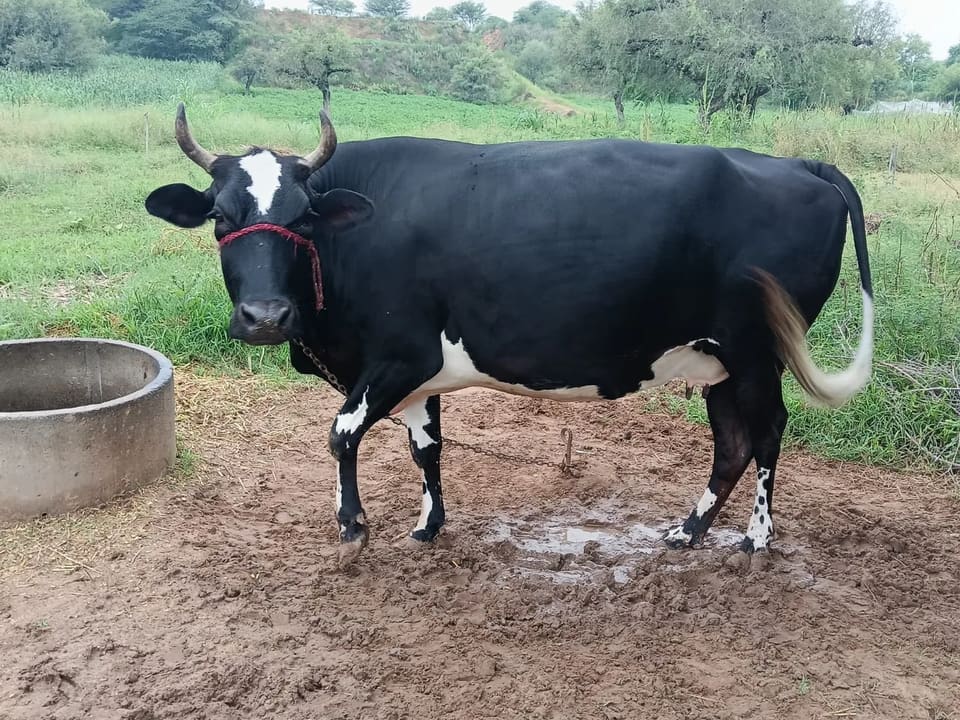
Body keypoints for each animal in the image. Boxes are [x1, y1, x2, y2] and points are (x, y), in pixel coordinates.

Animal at [145, 104, 874, 567]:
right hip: (716, 358)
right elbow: (426, 448)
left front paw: (353, 526)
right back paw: (687, 531)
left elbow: (342, 433)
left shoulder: (399, 354)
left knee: (768, 432)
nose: (266, 317)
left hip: (756, 352)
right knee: (733, 443)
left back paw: (757, 539)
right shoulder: (418, 372)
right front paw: (426, 527)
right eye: (220, 218)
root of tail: (801, 165)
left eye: (301, 219)